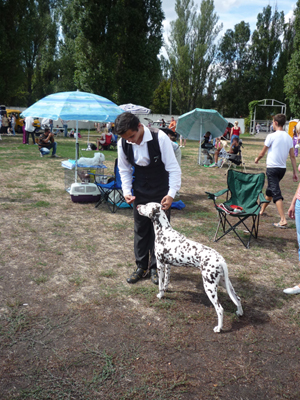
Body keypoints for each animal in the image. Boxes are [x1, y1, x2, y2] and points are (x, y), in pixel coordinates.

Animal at [137, 203, 244, 332]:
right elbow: (166, 281)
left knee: (220, 309)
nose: (137, 205)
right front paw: (166, 289)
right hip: (224, 282)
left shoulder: (160, 264)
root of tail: (221, 260)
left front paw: (160, 295)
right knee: (238, 298)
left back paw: (218, 328)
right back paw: (239, 312)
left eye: (146, 205)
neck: (164, 231)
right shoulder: (168, 265)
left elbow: (160, 285)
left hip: (209, 286)